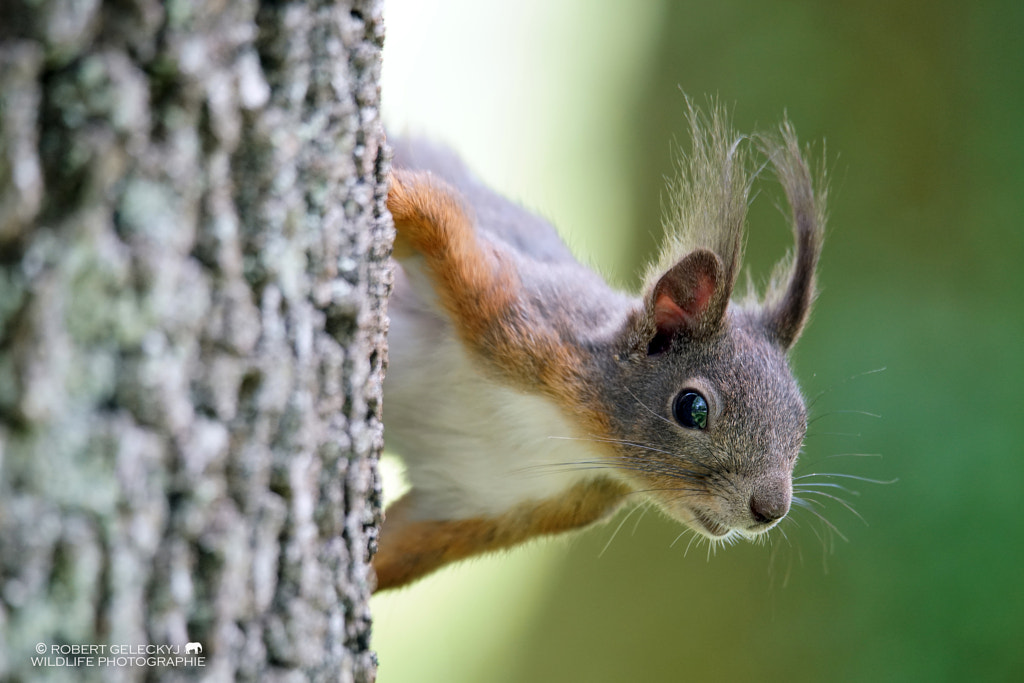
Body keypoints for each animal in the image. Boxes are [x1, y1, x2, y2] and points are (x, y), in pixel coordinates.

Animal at [372, 107, 827, 593]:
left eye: (801, 422)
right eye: (693, 408)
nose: (770, 510)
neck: (580, 433)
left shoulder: (489, 502)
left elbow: (397, 552)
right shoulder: (519, 317)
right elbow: (434, 212)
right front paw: (391, 187)